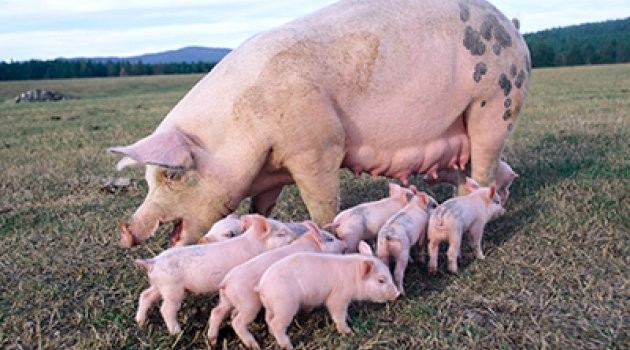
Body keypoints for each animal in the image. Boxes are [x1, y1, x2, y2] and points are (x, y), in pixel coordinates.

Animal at [107, 0, 528, 246]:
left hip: (496, 102)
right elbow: (263, 205)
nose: (126, 230)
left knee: (485, 167)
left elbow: (322, 202)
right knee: (479, 171)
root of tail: (512, 25)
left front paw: (326, 232)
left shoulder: (318, 145)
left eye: (172, 175)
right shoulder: (271, 167)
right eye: (149, 179)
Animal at [133, 215, 298, 334]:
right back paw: (177, 333)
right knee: (166, 309)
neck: (255, 243)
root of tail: (153, 261)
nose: (296, 236)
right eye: (281, 233)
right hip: (172, 288)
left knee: (145, 295)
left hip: (158, 285)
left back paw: (140, 322)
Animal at [207, 221, 346, 348]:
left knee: (216, 312)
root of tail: (226, 282)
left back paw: (212, 341)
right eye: (331, 239)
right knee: (238, 322)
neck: (312, 245)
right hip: (249, 304)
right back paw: (254, 345)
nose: (344, 245)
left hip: (226, 300)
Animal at [256, 242, 400, 348]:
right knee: (276, 323)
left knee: (268, 320)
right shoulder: (338, 296)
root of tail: (262, 286)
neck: (353, 276)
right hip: (285, 305)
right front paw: (347, 331)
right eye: (381, 280)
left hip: (271, 306)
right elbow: (337, 313)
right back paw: (288, 346)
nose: (397, 293)